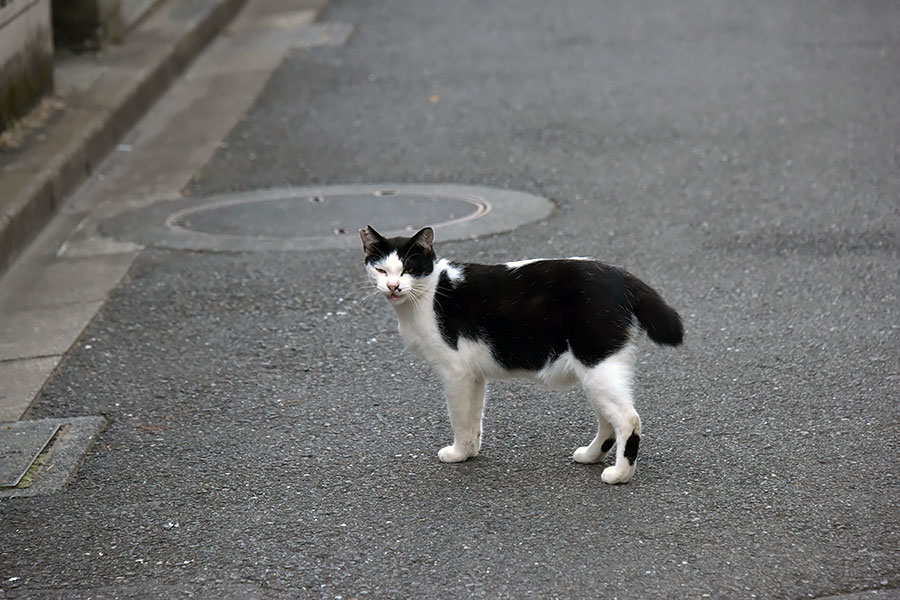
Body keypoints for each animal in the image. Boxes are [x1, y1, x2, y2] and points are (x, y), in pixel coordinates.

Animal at [358, 225, 684, 482]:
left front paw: (458, 453)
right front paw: (471, 451)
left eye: (409, 269)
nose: (393, 286)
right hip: (597, 371)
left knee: (628, 419)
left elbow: (459, 418)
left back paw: (620, 475)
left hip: (596, 364)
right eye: (381, 270)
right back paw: (591, 456)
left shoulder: (456, 373)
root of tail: (621, 275)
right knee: (609, 420)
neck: (429, 294)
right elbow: (474, 417)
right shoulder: (474, 376)